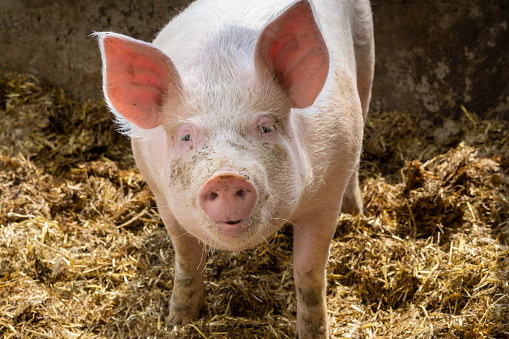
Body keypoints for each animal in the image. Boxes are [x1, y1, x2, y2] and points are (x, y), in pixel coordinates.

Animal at [95, 0, 374, 338]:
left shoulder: (326, 197)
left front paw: (315, 333)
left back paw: (356, 211)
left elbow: (308, 274)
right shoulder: (162, 197)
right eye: (186, 136)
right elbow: (187, 260)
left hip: (366, 50)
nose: (225, 178)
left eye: (266, 127)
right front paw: (178, 322)